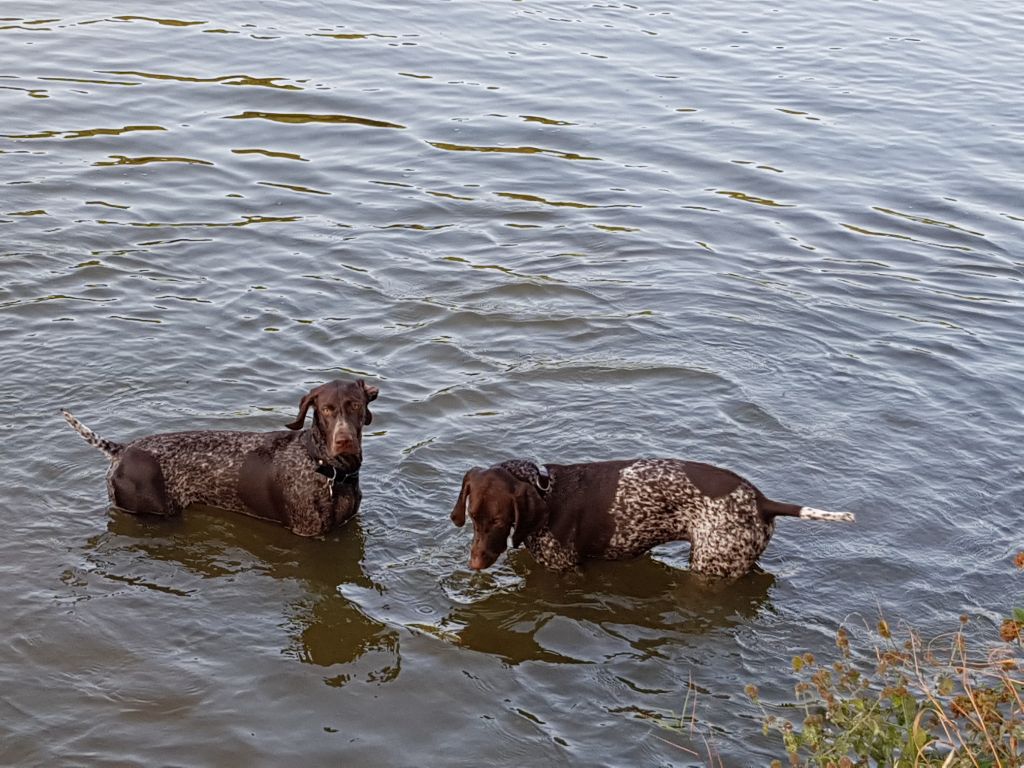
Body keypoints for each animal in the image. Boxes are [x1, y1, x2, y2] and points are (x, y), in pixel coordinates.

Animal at [64, 378, 378, 536]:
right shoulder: (308, 535)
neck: (328, 468)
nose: (343, 440)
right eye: (326, 409)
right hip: (148, 514)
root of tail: (122, 449)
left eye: (354, 405)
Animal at [452, 456, 851, 577]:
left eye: (497, 522)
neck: (547, 493)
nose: (474, 564)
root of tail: (762, 500)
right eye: (471, 517)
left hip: (712, 564)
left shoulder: (564, 570)